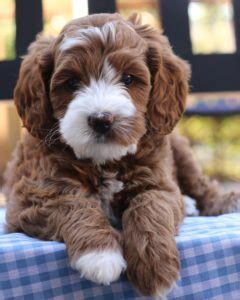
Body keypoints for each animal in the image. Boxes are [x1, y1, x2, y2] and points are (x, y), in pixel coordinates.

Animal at [3, 12, 240, 296]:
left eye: (128, 79)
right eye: (72, 82)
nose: (101, 120)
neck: (104, 159)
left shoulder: (159, 182)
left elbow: (149, 205)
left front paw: (153, 264)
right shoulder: (32, 195)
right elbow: (72, 202)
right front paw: (100, 255)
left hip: (180, 149)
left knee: (199, 184)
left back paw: (222, 201)